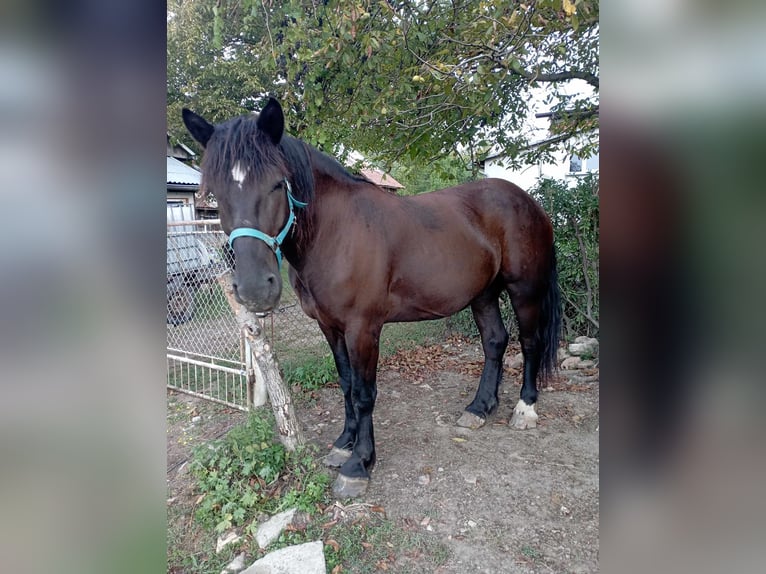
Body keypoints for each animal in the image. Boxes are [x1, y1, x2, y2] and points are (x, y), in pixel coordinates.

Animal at [183, 99, 560, 500]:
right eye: (216, 192)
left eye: (276, 184)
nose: (256, 288)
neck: (334, 232)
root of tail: (528, 201)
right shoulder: (330, 327)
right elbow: (347, 385)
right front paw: (343, 444)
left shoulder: (363, 328)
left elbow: (365, 393)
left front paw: (359, 463)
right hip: (484, 293)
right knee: (494, 342)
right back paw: (479, 408)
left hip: (524, 290)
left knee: (530, 343)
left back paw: (525, 410)